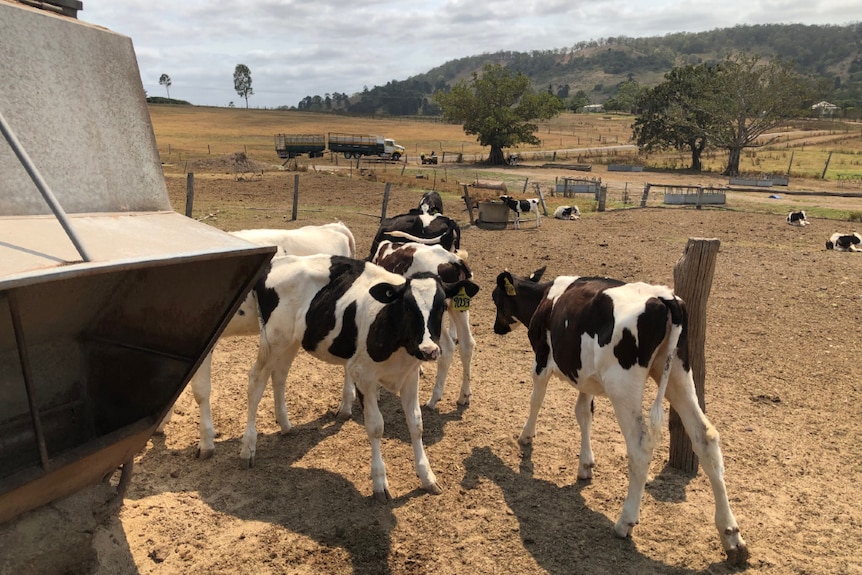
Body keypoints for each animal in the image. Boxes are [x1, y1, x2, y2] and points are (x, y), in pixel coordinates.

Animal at [372, 238, 480, 410]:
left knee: (447, 347)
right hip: (459, 309)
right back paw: (464, 395)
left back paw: (434, 398)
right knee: (467, 344)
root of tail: (455, 261)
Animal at [492, 268, 748, 568]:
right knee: (705, 438)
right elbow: (583, 413)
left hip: (623, 386)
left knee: (639, 447)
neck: (544, 297)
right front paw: (585, 465)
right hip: (678, 374)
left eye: (496, 298)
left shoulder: (541, 359)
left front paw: (526, 437)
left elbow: (536, 399)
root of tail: (664, 298)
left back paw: (625, 521)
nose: (496, 327)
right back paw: (731, 537)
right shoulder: (584, 374)